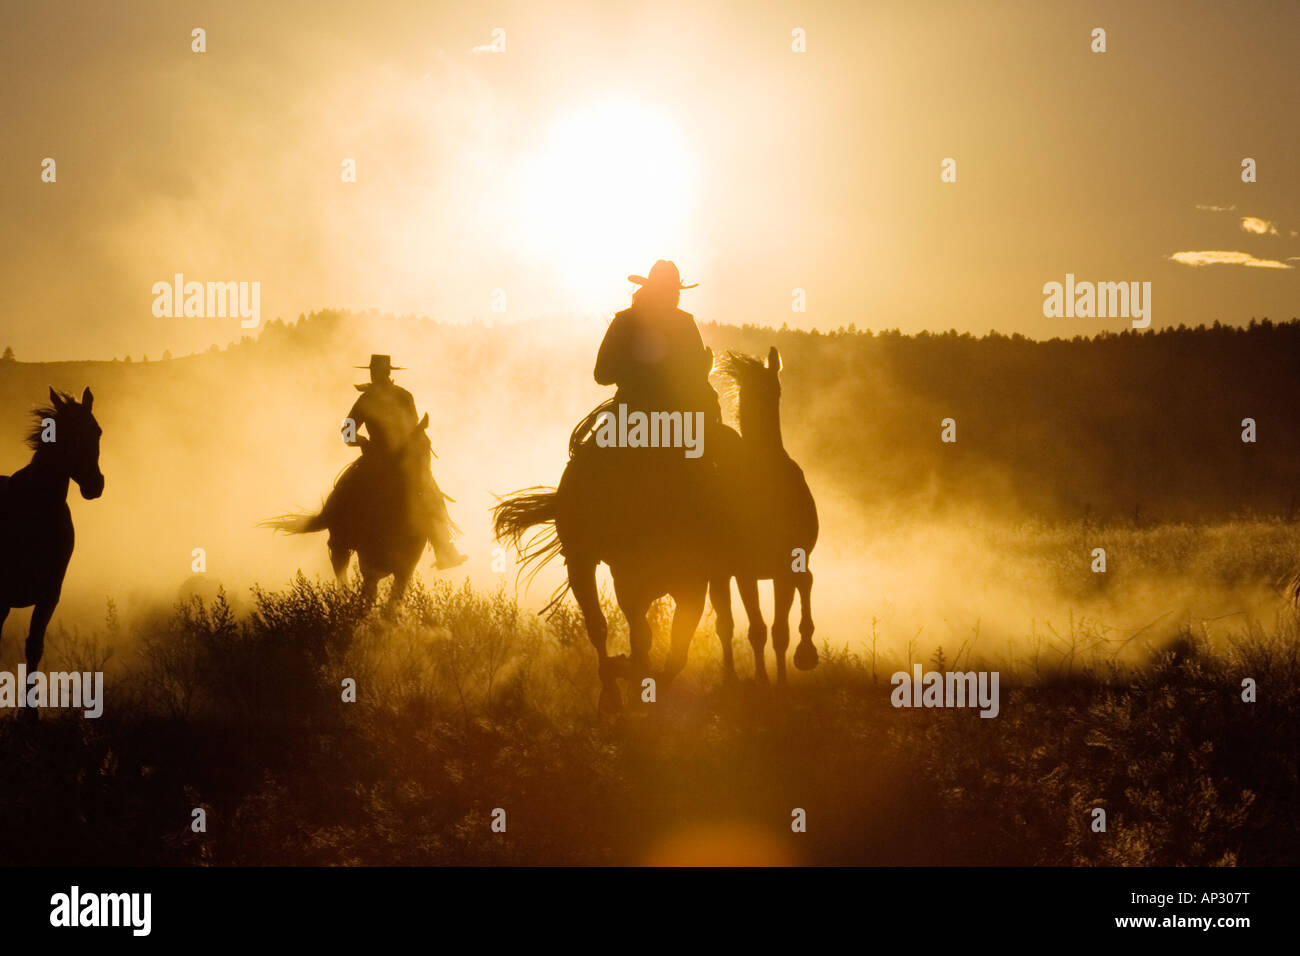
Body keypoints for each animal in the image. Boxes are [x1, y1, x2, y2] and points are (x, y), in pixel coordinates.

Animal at [265, 413, 436, 608]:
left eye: (428, 447)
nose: (422, 486)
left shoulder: (406, 565)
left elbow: (392, 603)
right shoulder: (369, 560)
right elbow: (369, 592)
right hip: (340, 546)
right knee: (342, 574)